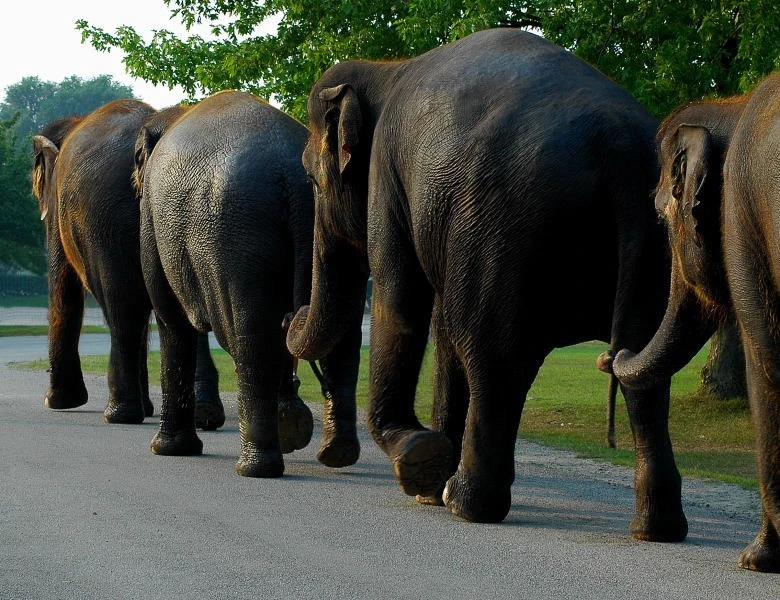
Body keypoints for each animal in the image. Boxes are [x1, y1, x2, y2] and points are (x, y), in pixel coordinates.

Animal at [32, 99, 222, 427]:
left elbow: (63, 290)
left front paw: (57, 402)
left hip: (107, 218)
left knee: (122, 306)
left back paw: (121, 415)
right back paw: (203, 414)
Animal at [136, 90, 361, 476]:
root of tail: (289, 172)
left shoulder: (150, 222)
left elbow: (171, 320)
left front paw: (168, 450)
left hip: (239, 236)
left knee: (251, 336)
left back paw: (256, 467)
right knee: (341, 332)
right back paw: (332, 450)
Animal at [285, 28, 686, 541]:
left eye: (312, 179)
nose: (291, 315)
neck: (386, 66)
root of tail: (617, 145)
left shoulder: (388, 176)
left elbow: (403, 299)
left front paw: (418, 456)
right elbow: (439, 326)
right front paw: (428, 483)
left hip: (504, 228)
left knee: (493, 356)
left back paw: (467, 503)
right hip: (655, 244)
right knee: (643, 367)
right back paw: (656, 529)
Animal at [608, 73, 780, 572]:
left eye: (662, 214)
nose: (610, 354)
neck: (733, 106)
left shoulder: (743, 218)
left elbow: (767, 362)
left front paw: (756, 559)